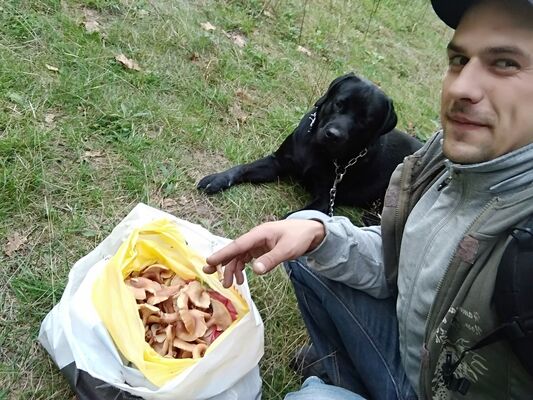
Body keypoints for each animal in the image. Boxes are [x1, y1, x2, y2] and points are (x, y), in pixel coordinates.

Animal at [197, 73, 423, 218]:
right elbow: (242, 168)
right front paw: (218, 179)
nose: (333, 135)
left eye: (365, 120)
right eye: (339, 103)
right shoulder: (278, 162)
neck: (317, 150)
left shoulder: (324, 198)